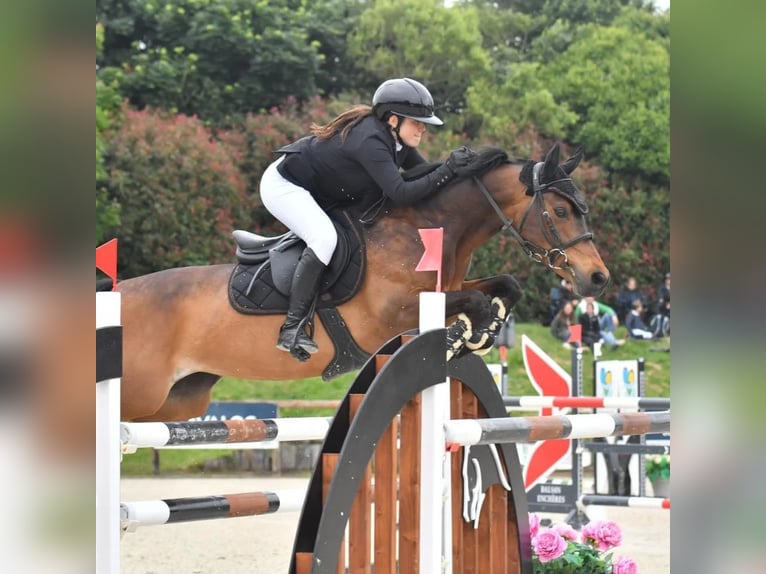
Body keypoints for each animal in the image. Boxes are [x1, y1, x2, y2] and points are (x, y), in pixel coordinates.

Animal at [117, 144, 608, 424]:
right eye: (561, 211)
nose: (598, 278)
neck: (426, 225)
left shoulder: (448, 285)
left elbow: (502, 285)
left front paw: (482, 330)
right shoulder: (392, 314)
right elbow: (471, 300)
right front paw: (469, 333)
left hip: (179, 400)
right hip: (141, 395)